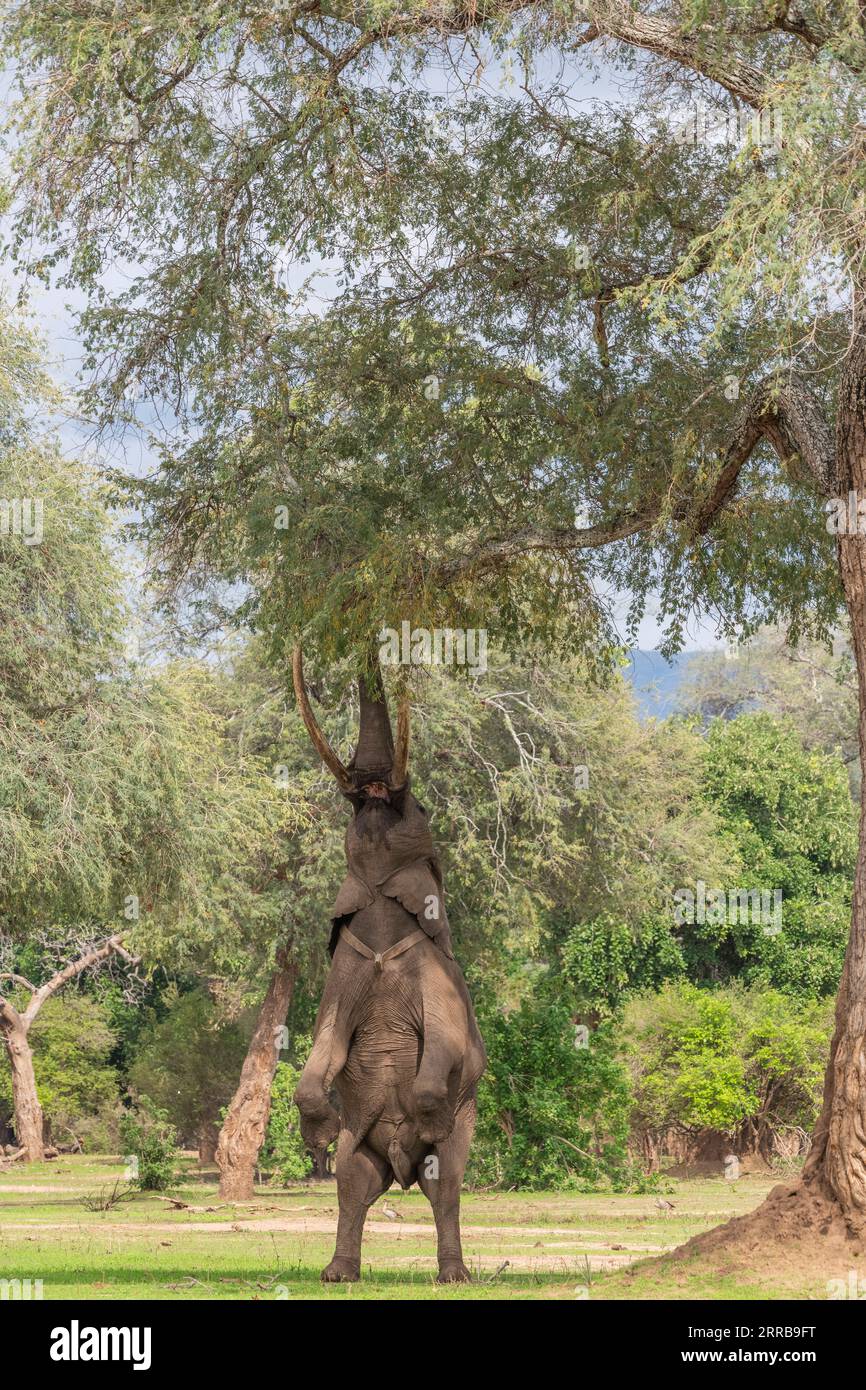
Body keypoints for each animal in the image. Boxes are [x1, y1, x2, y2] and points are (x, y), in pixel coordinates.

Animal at [294, 650, 489, 1278]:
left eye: (419, 807)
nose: (371, 785)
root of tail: (397, 1171)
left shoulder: (438, 975)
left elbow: (448, 1046)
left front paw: (429, 1117)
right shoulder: (346, 968)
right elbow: (321, 1048)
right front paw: (319, 1133)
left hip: (462, 1131)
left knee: (446, 1188)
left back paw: (454, 1274)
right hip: (365, 1150)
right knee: (353, 1186)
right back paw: (337, 1273)